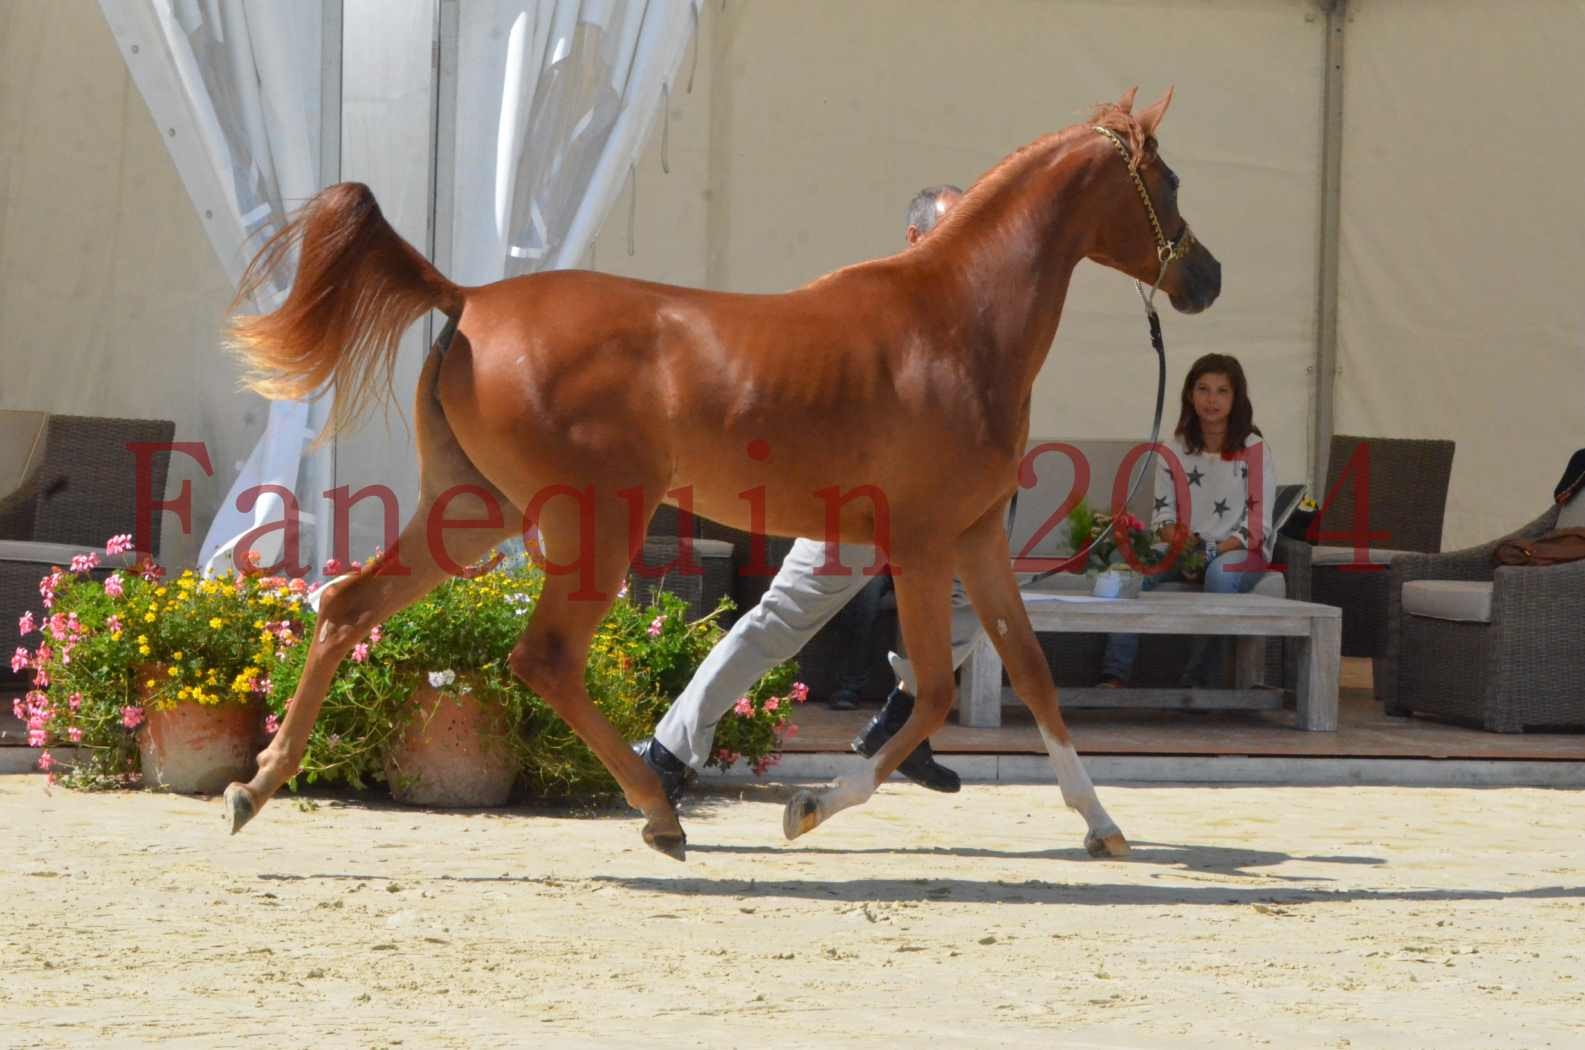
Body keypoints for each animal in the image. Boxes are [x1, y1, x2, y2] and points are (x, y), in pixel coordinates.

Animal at [220, 88, 1210, 862]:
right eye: (1165, 182)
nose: (1206, 276)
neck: (954, 323)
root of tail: (468, 299)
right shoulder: (924, 541)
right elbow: (929, 689)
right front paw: (808, 807)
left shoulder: (973, 537)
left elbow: (1032, 671)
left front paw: (1102, 824)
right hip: (594, 518)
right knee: (544, 657)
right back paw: (658, 812)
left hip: (474, 508)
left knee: (346, 606)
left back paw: (256, 786)